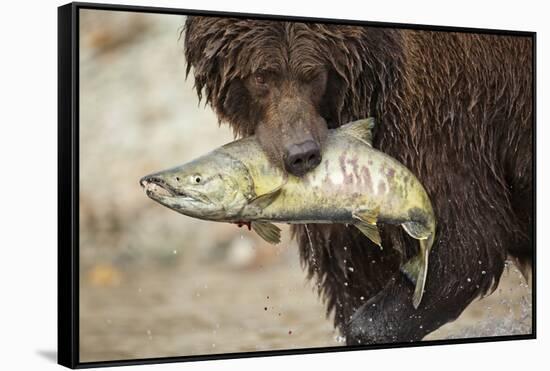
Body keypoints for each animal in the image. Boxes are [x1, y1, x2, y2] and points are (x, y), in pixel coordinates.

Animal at [184, 16, 536, 344]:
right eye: (261, 76)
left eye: (313, 74)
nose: (301, 153)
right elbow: (352, 271)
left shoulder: (438, 124)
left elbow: (463, 250)